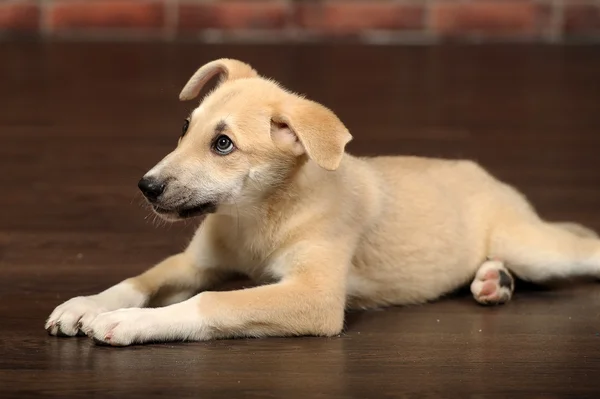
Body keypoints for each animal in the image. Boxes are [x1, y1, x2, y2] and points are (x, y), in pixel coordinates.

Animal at [45, 58, 600, 346]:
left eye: (223, 144)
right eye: (186, 127)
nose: (146, 186)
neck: (258, 216)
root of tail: (486, 175)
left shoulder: (314, 298)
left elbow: (212, 302)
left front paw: (128, 322)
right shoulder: (194, 262)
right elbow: (141, 280)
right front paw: (85, 305)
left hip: (534, 247)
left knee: (580, 247)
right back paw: (492, 280)